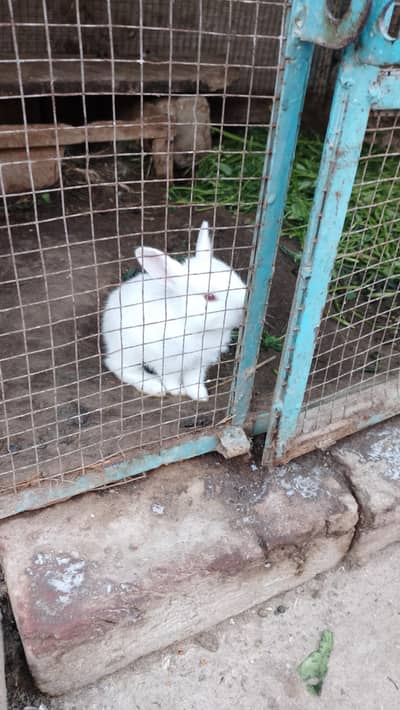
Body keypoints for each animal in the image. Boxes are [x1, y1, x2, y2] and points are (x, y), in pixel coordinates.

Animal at [102, 221, 246, 401]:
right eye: (210, 297)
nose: (244, 307)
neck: (193, 326)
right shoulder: (167, 361)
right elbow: (171, 379)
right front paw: (178, 391)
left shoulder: (199, 362)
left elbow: (194, 380)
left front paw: (200, 395)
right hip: (129, 350)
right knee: (119, 366)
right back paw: (154, 386)